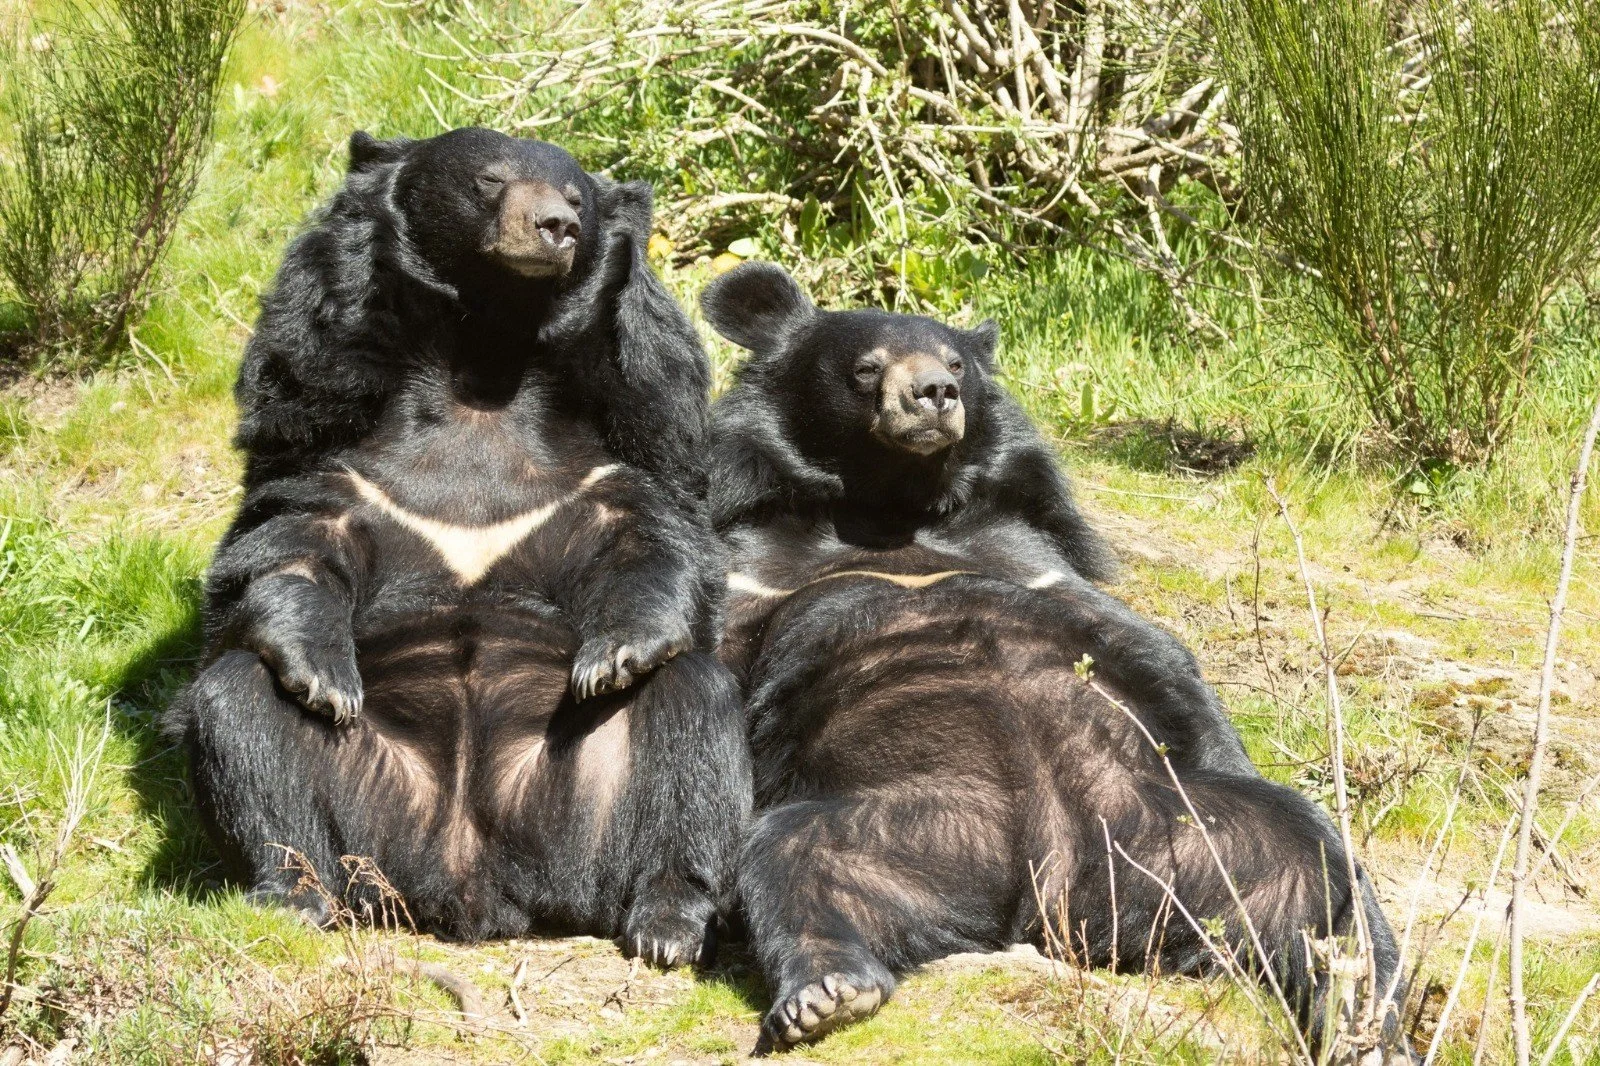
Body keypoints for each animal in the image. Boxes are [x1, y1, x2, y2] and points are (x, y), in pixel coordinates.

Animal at [164, 128, 751, 965]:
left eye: (577, 196)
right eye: (490, 180)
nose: (555, 227)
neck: (486, 353)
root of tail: (472, 885)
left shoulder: (636, 418)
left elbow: (653, 533)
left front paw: (613, 657)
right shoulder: (321, 410)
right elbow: (291, 532)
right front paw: (326, 679)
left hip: (582, 793)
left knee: (695, 711)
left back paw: (666, 923)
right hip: (370, 806)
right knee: (239, 712)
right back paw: (294, 895)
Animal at [698, 262, 1404, 1051]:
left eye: (957, 366)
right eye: (866, 368)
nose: (933, 395)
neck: (889, 506)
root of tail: (1056, 890)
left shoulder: (1034, 558)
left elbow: (1150, 651)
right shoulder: (753, 564)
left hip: (1195, 835)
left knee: (1325, 887)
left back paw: (1367, 1028)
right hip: (906, 825)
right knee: (793, 859)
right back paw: (826, 992)